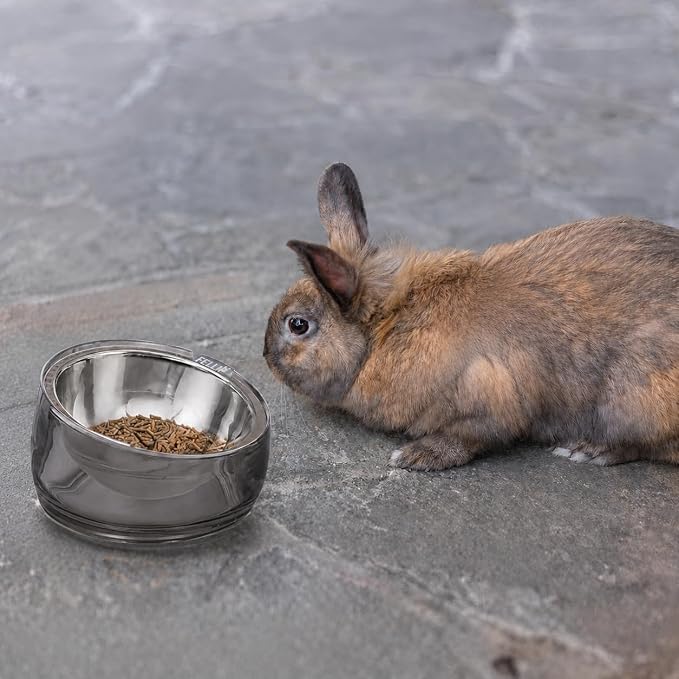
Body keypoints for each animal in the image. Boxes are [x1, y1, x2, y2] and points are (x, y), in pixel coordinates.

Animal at [263, 162, 679, 471]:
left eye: (297, 325)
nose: (265, 357)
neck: (389, 328)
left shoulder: (487, 398)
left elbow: (469, 438)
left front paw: (416, 457)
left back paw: (588, 449)